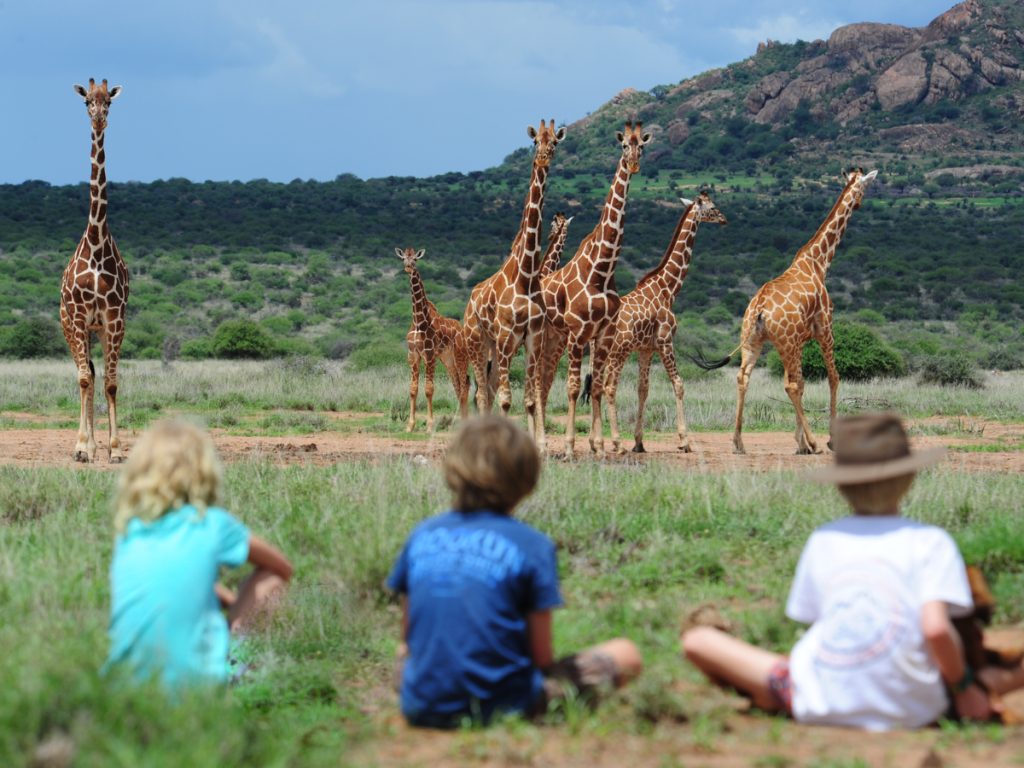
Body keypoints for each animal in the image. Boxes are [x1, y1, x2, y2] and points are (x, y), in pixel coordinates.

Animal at [398, 247, 470, 432]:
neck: (418, 321)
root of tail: (463, 331)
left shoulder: (429, 355)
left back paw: (464, 422)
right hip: (448, 359)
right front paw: (410, 426)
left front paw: (430, 426)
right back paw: (457, 422)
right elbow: (413, 389)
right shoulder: (413, 355)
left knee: (465, 384)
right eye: (403, 258)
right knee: (458, 385)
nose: (408, 267)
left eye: (415, 259)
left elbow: (429, 389)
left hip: (460, 356)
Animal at [462, 120, 565, 439]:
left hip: (495, 347)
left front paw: (540, 444)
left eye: (554, 142)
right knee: (483, 393)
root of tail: (469, 302)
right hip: (478, 340)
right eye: (534, 142)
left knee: (488, 390)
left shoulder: (532, 338)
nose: (543, 158)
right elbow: (507, 401)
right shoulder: (508, 336)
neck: (527, 275)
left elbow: (530, 400)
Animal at [537, 121, 652, 457]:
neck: (602, 269)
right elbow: (574, 388)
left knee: (542, 383)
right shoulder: (578, 333)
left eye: (642, 145)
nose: (634, 164)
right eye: (624, 146)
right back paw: (540, 442)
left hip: (554, 339)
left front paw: (600, 447)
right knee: (535, 382)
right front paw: (571, 447)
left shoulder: (603, 334)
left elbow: (598, 387)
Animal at [594, 191, 727, 455]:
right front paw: (684, 440)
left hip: (602, 353)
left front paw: (639, 442)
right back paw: (615, 442)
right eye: (712, 207)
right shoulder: (665, 341)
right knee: (609, 387)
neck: (668, 288)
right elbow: (679, 383)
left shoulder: (646, 349)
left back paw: (596, 443)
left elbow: (643, 390)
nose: (724, 219)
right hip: (618, 353)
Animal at [692, 168, 878, 454]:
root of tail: (758, 309)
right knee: (791, 384)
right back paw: (814, 443)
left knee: (743, 377)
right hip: (785, 342)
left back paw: (738, 442)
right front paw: (825, 440)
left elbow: (800, 384)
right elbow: (831, 378)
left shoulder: (799, 340)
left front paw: (799, 443)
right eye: (865, 187)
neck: (818, 262)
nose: (859, 203)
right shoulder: (825, 330)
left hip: (756, 341)